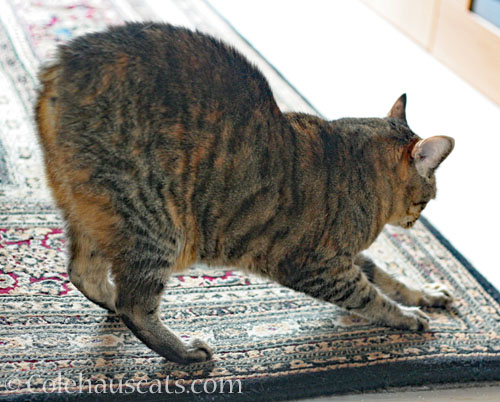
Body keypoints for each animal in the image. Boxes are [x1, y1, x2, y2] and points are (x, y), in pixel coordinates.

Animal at [35, 23, 456, 366]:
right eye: (428, 199)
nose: (416, 220)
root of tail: (62, 65)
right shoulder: (321, 265)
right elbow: (371, 297)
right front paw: (406, 317)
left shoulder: (347, 257)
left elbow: (388, 277)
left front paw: (426, 294)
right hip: (153, 221)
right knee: (134, 304)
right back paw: (184, 352)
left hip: (91, 212)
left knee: (84, 274)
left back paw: (111, 302)